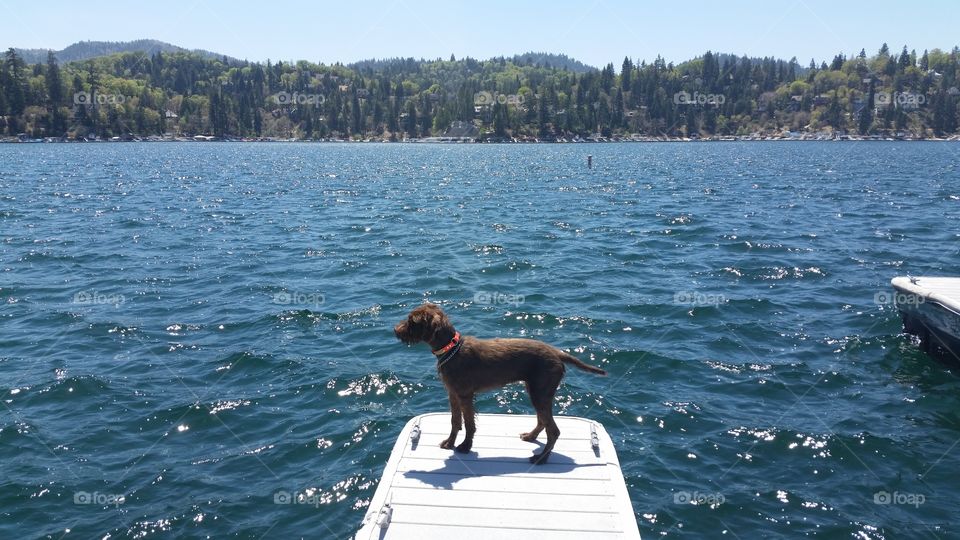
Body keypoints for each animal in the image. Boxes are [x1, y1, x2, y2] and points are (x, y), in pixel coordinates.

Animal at [392, 304, 604, 464]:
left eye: (412, 321)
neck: (451, 349)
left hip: (540, 392)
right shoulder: (452, 393)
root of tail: (557, 353)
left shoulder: (465, 395)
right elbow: (455, 422)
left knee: (553, 430)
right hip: (536, 391)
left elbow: (469, 424)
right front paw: (450, 443)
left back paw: (541, 459)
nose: (395, 330)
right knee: (543, 422)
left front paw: (465, 446)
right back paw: (531, 437)